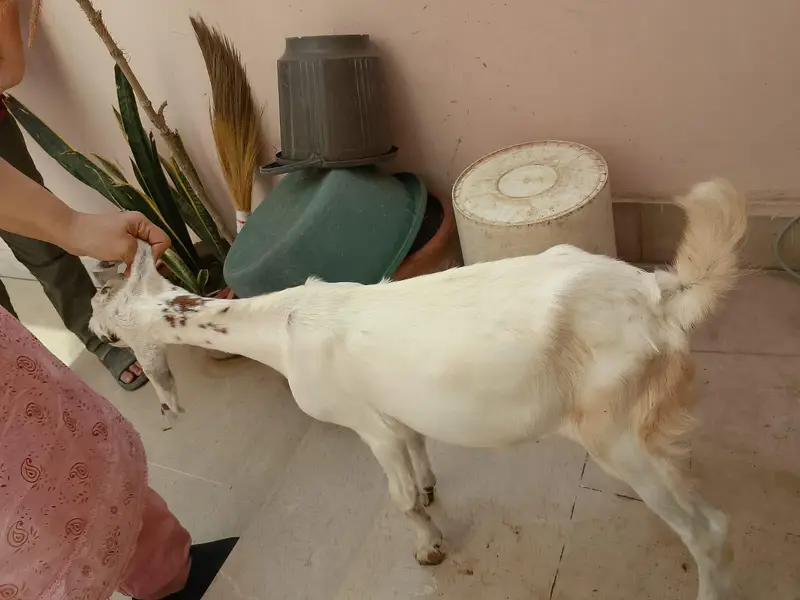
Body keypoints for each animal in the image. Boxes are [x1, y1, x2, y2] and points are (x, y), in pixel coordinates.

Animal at [90, 179, 747, 600]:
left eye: (112, 317)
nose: (93, 329)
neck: (282, 329)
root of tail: (657, 297)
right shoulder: (397, 414)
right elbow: (419, 452)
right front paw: (432, 491)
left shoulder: (368, 424)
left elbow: (399, 494)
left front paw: (429, 546)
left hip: (615, 433)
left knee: (711, 531)